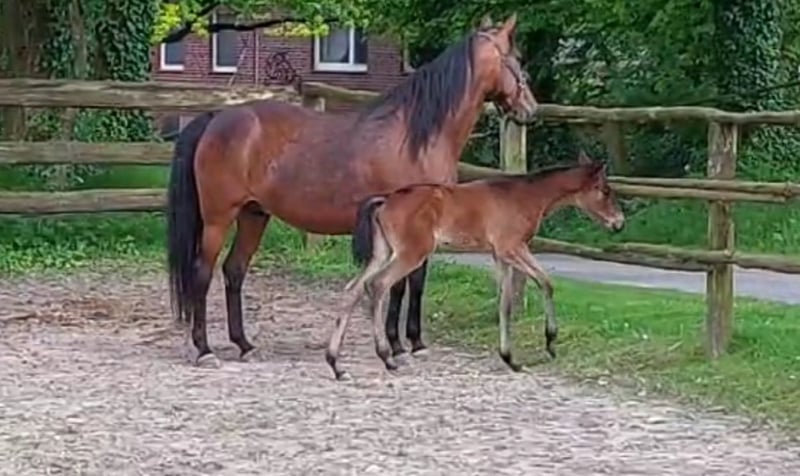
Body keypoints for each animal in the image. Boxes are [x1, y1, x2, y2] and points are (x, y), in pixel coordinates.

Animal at [165, 13, 537, 368]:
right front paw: (398, 346)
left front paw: (413, 344)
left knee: (234, 271)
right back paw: (204, 350)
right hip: (218, 218)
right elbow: (400, 284)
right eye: (517, 58)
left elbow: (415, 282)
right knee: (202, 273)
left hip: (253, 214)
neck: (415, 137)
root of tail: (215, 118)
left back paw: (244, 345)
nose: (530, 110)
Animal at [327, 151, 625, 380]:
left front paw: (510, 358)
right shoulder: (512, 247)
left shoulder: (500, 255)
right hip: (412, 253)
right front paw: (550, 343)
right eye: (605, 191)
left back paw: (336, 365)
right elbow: (546, 282)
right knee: (377, 285)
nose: (619, 223)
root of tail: (385, 200)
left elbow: (505, 303)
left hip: (382, 253)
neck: (527, 195)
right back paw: (386, 358)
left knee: (353, 288)